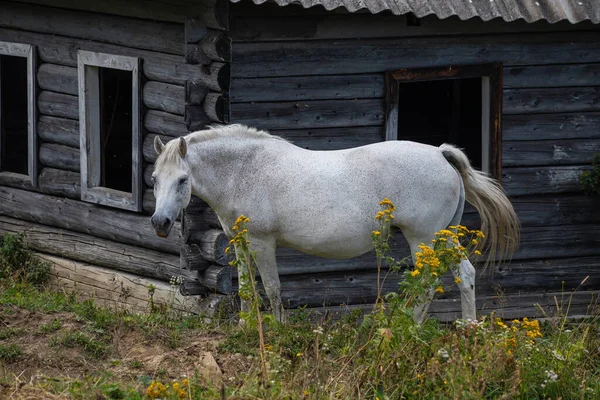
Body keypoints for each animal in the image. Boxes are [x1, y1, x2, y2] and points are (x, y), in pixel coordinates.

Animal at [151, 123, 520, 324]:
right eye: (155, 179)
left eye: (183, 179)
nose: (160, 221)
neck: (245, 169)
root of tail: (440, 153)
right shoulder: (240, 243)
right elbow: (245, 289)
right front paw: (244, 329)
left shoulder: (262, 243)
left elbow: (272, 289)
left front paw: (279, 332)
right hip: (442, 238)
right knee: (463, 275)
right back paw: (467, 329)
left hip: (424, 239)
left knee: (429, 282)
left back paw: (412, 326)